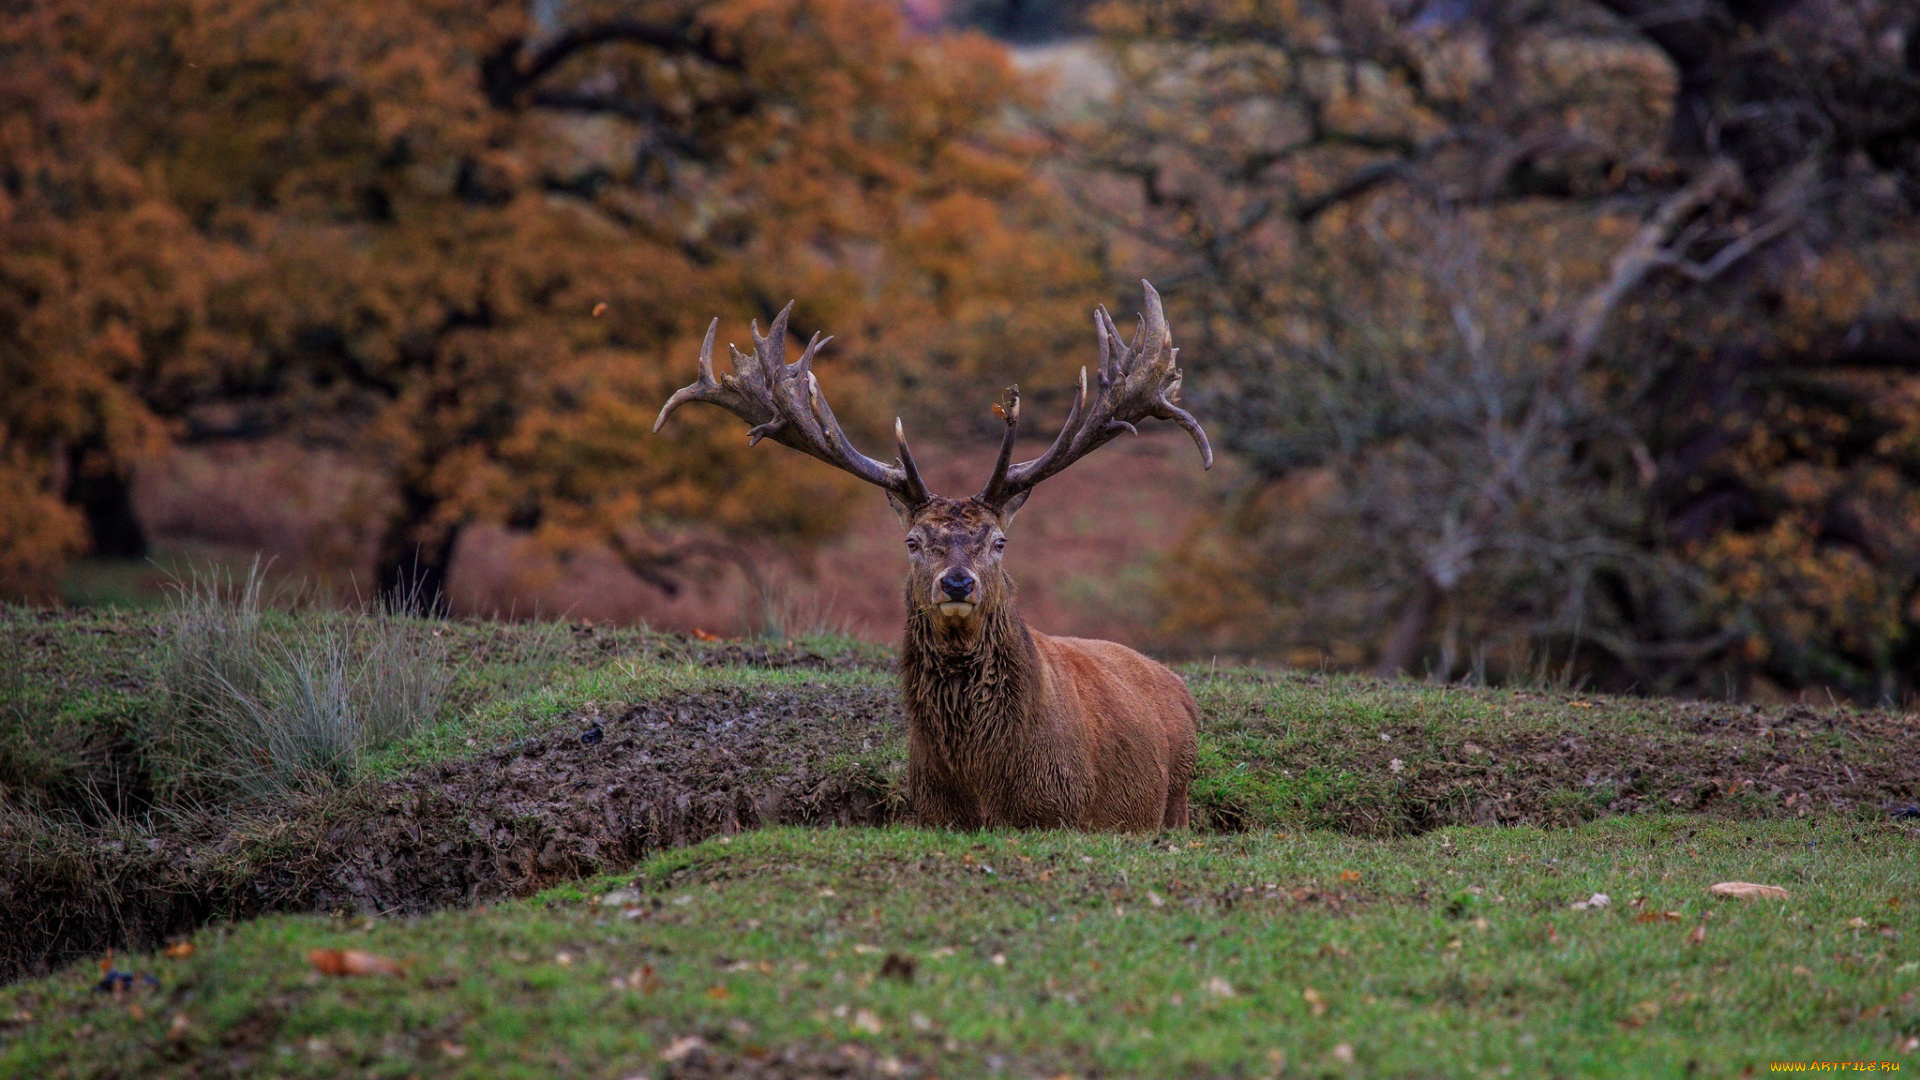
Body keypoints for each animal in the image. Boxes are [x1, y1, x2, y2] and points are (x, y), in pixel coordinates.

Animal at [652, 282, 1205, 826]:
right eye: (913, 541)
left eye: (999, 542)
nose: (958, 582)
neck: (982, 786)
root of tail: (1179, 686)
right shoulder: (932, 811)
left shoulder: (1065, 814)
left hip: (1176, 795)